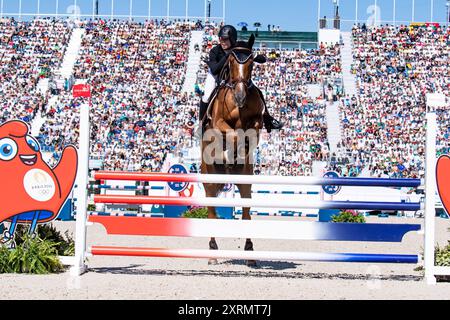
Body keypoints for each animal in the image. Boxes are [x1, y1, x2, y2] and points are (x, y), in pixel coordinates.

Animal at [200, 33, 266, 266]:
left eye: (251, 63)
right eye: (230, 62)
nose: (240, 97)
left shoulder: (257, 122)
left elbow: (249, 132)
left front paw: (241, 151)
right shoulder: (219, 122)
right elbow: (232, 134)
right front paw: (230, 153)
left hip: (245, 183)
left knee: (246, 213)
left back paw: (250, 252)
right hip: (209, 182)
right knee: (211, 212)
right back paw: (212, 253)